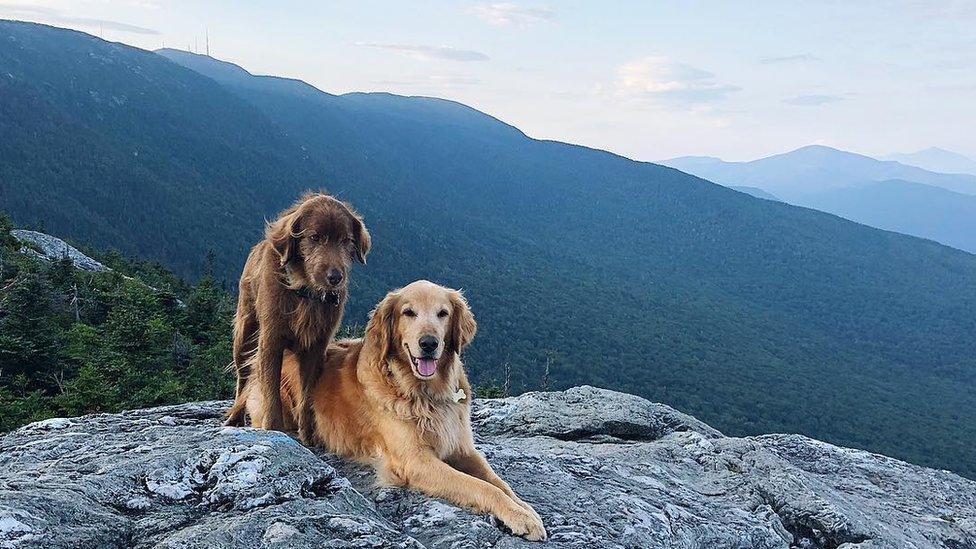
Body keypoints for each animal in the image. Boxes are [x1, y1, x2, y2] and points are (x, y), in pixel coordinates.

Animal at [224, 192, 370, 440]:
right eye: (314, 237)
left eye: (346, 241)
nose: (335, 277)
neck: (305, 291)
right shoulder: (271, 340)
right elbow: (271, 390)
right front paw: (273, 427)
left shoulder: (316, 347)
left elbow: (308, 394)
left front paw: (309, 435)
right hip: (245, 332)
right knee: (242, 378)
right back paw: (235, 416)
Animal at [244, 280, 548, 540]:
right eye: (408, 312)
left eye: (443, 313)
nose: (429, 344)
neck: (426, 393)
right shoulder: (415, 461)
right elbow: (481, 487)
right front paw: (520, 517)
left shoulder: (463, 448)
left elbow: (499, 482)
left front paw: (525, 509)